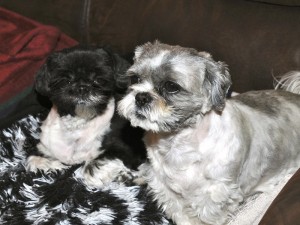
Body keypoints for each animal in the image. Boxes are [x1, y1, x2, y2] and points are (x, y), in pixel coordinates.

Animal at [26, 45, 146, 186]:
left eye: (98, 79)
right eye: (66, 81)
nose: (82, 88)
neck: (79, 122)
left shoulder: (124, 149)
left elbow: (90, 167)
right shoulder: (46, 147)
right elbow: (33, 159)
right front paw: (50, 165)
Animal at [117, 40, 300, 225]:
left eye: (171, 86)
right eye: (135, 78)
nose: (141, 97)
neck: (178, 144)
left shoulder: (215, 195)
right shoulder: (166, 189)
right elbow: (181, 215)